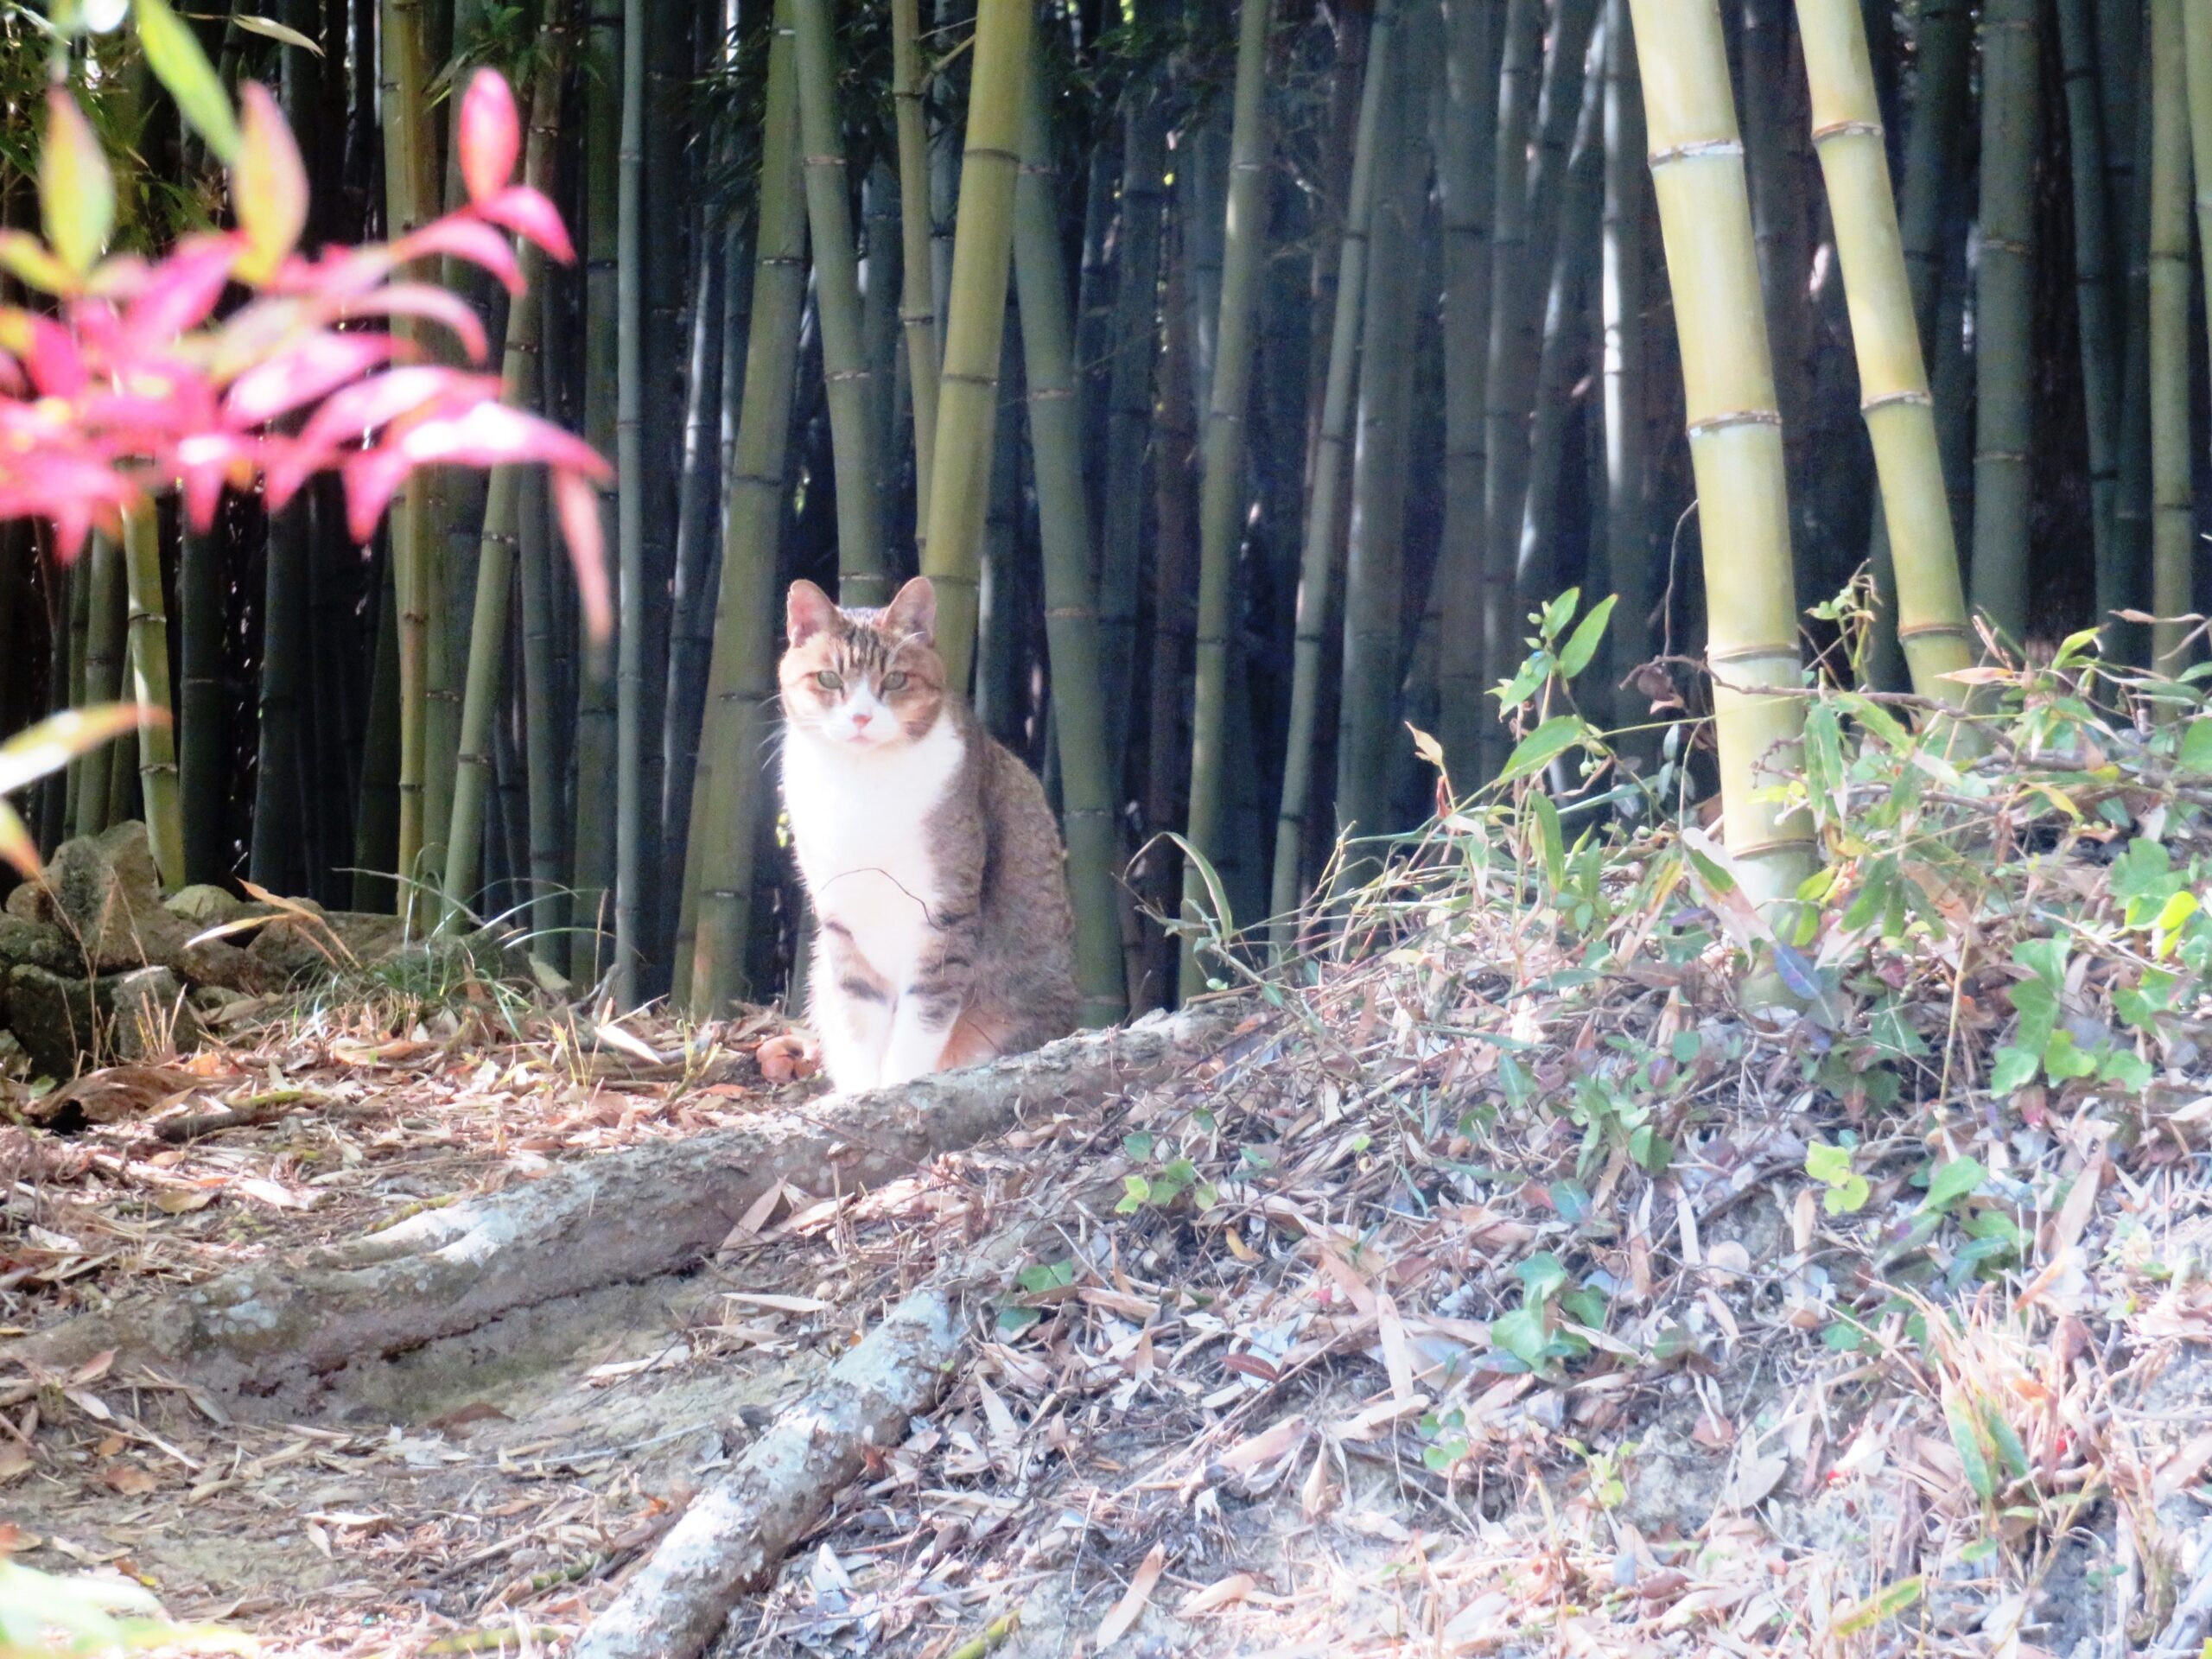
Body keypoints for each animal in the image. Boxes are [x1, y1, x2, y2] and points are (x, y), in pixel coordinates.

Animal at [783, 579, 1084, 1096]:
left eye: (896, 681)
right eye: (828, 680)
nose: (861, 718)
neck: (863, 779)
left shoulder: (945, 910)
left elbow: (923, 1012)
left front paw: (898, 1086)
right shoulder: (841, 918)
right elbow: (858, 1015)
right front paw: (862, 1092)